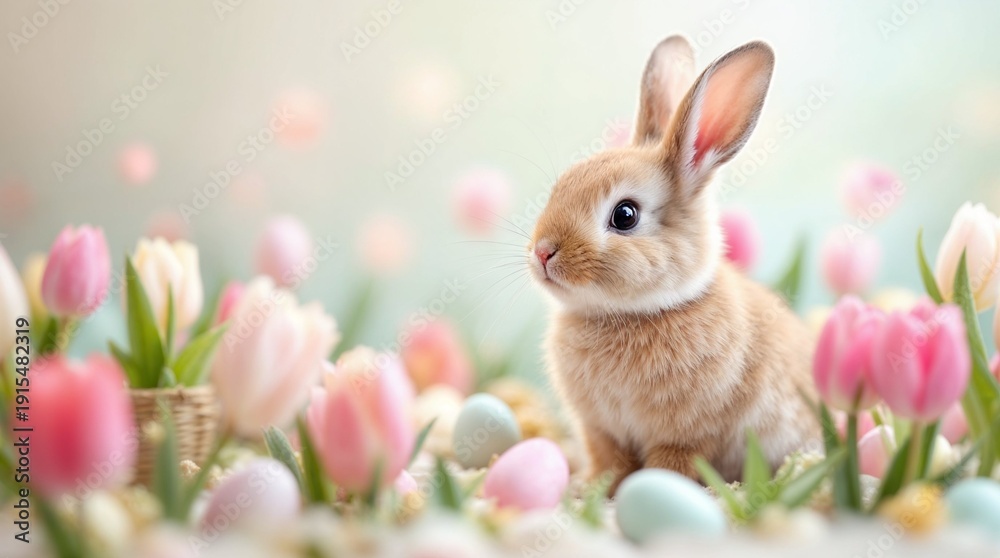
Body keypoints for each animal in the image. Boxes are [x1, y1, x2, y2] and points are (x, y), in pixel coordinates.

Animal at [528, 36, 820, 492]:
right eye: (560, 187)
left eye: (625, 215)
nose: (542, 252)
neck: (631, 314)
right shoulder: (601, 431)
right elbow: (608, 461)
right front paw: (590, 490)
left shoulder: (687, 437)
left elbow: (672, 466)